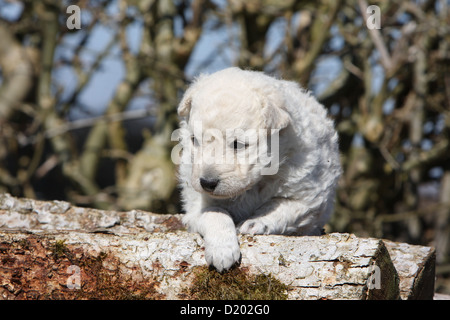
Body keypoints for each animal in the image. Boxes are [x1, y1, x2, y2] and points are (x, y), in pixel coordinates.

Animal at [176, 68, 342, 272]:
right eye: (194, 140)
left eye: (238, 144)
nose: (207, 183)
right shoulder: (196, 204)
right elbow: (214, 212)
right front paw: (222, 251)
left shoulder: (310, 198)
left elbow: (282, 206)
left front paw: (255, 222)